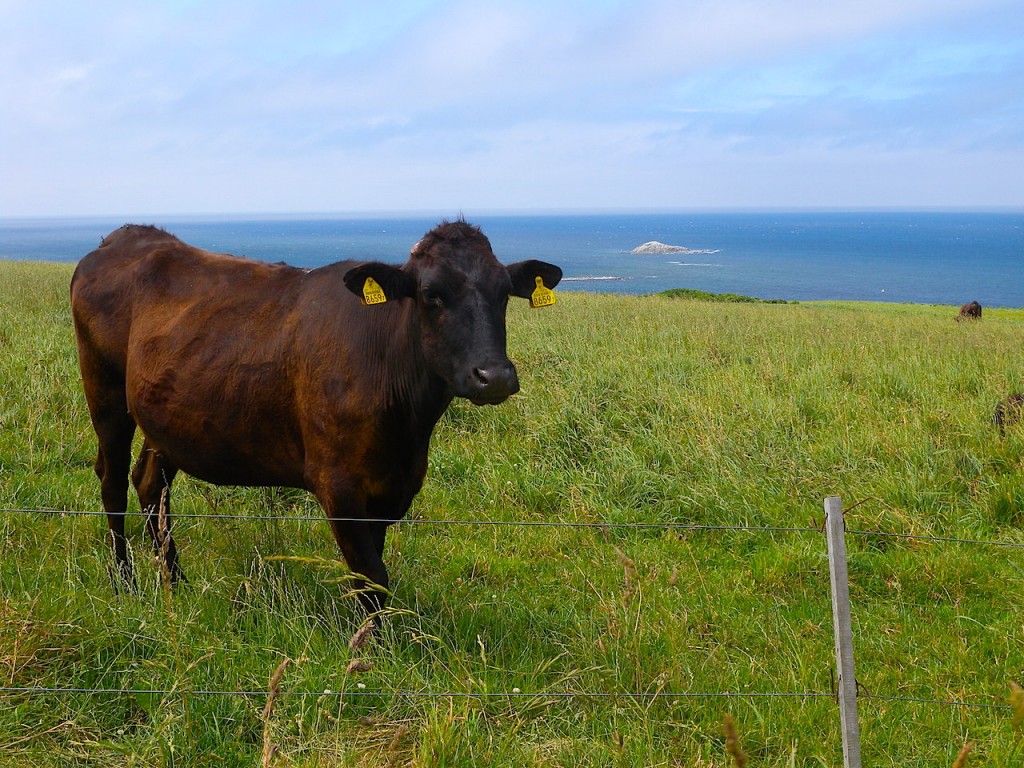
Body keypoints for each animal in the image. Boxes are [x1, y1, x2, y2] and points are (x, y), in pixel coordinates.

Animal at [71, 219, 565, 618]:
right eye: (431, 295)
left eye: (503, 294)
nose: (494, 376)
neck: (408, 430)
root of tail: (123, 236)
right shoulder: (337, 483)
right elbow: (371, 576)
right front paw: (371, 655)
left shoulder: (392, 488)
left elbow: (371, 573)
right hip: (105, 392)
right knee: (112, 480)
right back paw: (125, 583)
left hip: (167, 417)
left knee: (150, 483)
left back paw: (177, 583)